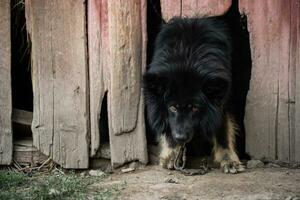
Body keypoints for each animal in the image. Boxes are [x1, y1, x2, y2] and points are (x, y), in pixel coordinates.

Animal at [143, 16, 244, 173]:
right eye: (172, 107)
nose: (181, 137)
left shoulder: (222, 101)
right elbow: (167, 127)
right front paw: (171, 153)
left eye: (195, 108)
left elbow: (223, 130)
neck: (187, 58)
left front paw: (228, 160)